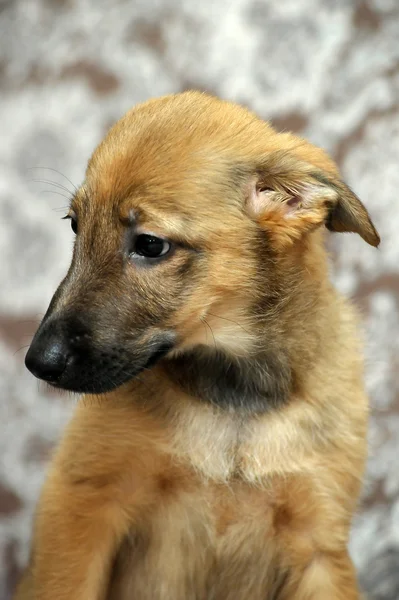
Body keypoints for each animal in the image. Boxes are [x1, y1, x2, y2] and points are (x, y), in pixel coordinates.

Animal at [14, 90, 380, 600]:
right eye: (74, 226)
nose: (37, 363)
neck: (233, 399)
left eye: (150, 245)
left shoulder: (319, 544)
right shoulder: (82, 503)